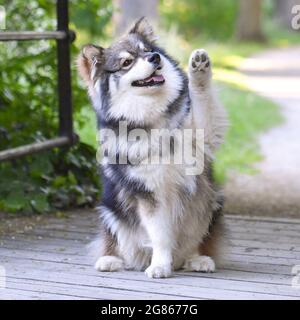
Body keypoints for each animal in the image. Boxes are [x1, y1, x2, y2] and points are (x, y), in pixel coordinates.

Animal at [77, 17, 227, 278]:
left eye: (147, 50)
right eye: (127, 62)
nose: (155, 57)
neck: (154, 117)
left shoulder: (203, 136)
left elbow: (202, 99)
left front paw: (199, 68)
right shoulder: (149, 194)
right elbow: (160, 236)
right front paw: (159, 265)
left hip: (212, 202)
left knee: (196, 241)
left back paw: (197, 259)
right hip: (111, 209)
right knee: (119, 243)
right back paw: (111, 259)